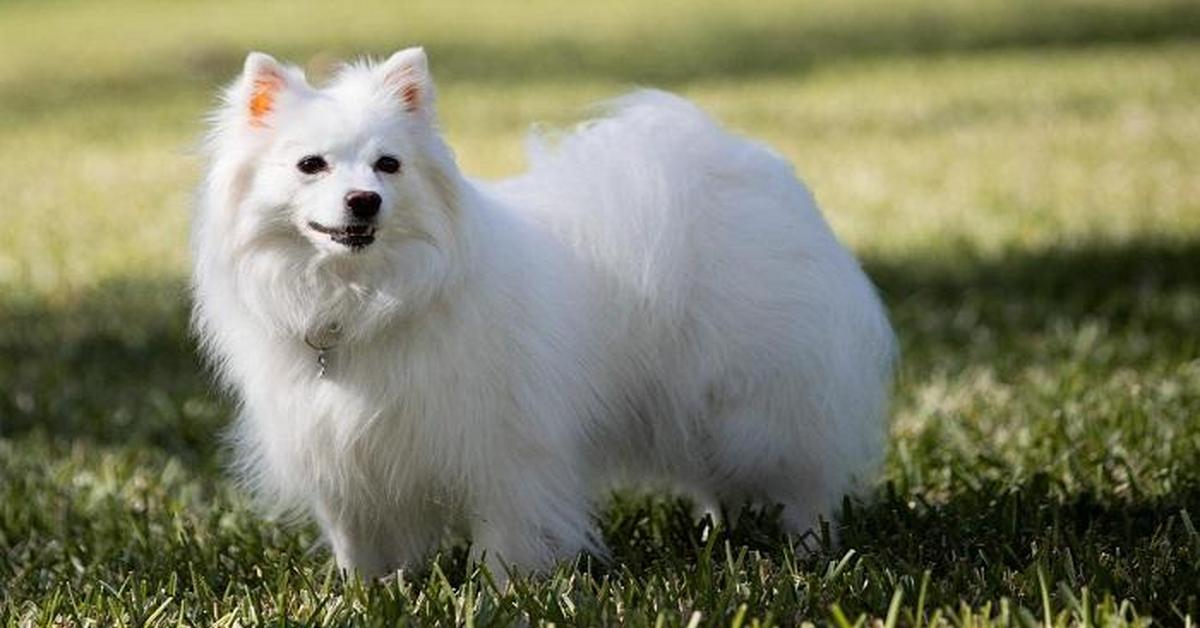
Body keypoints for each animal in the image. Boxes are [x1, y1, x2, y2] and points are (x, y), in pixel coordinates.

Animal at [192, 48, 897, 581]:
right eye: (310, 166)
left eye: (388, 165)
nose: (364, 200)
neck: (363, 301)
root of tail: (741, 169)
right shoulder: (342, 458)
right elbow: (359, 545)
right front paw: (366, 593)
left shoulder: (506, 449)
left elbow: (505, 537)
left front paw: (501, 592)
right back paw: (714, 531)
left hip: (758, 403)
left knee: (805, 477)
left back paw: (809, 549)